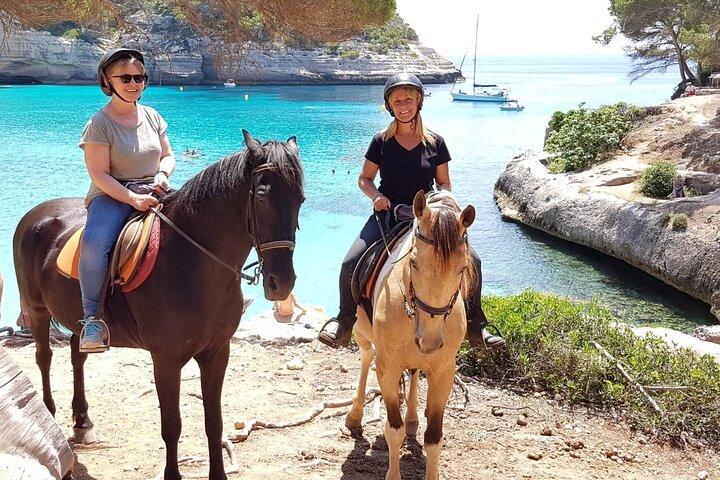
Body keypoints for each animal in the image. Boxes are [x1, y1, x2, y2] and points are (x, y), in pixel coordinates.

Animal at [12, 130, 304, 480]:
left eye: (300, 200)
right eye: (261, 197)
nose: (281, 282)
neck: (190, 261)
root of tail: (35, 215)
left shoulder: (217, 353)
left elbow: (214, 423)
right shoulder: (166, 359)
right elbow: (172, 426)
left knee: (76, 353)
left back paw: (83, 422)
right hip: (37, 311)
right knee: (44, 358)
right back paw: (50, 414)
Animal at [348, 190, 476, 480]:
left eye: (462, 268)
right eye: (414, 263)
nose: (429, 340)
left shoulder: (444, 371)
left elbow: (434, 437)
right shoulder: (388, 366)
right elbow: (392, 430)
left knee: (416, 372)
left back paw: (413, 418)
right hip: (362, 332)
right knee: (365, 358)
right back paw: (355, 414)